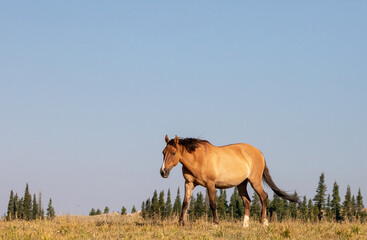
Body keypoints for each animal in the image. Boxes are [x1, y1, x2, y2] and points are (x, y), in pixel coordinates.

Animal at [160, 135, 300, 227]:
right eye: (163, 152)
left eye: (173, 153)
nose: (163, 172)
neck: (198, 159)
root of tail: (259, 153)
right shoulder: (189, 183)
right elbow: (185, 203)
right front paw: (181, 223)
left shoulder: (210, 184)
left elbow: (213, 204)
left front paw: (215, 224)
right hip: (242, 184)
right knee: (247, 202)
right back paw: (245, 225)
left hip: (254, 181)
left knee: (263, 197)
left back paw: (264, 222)